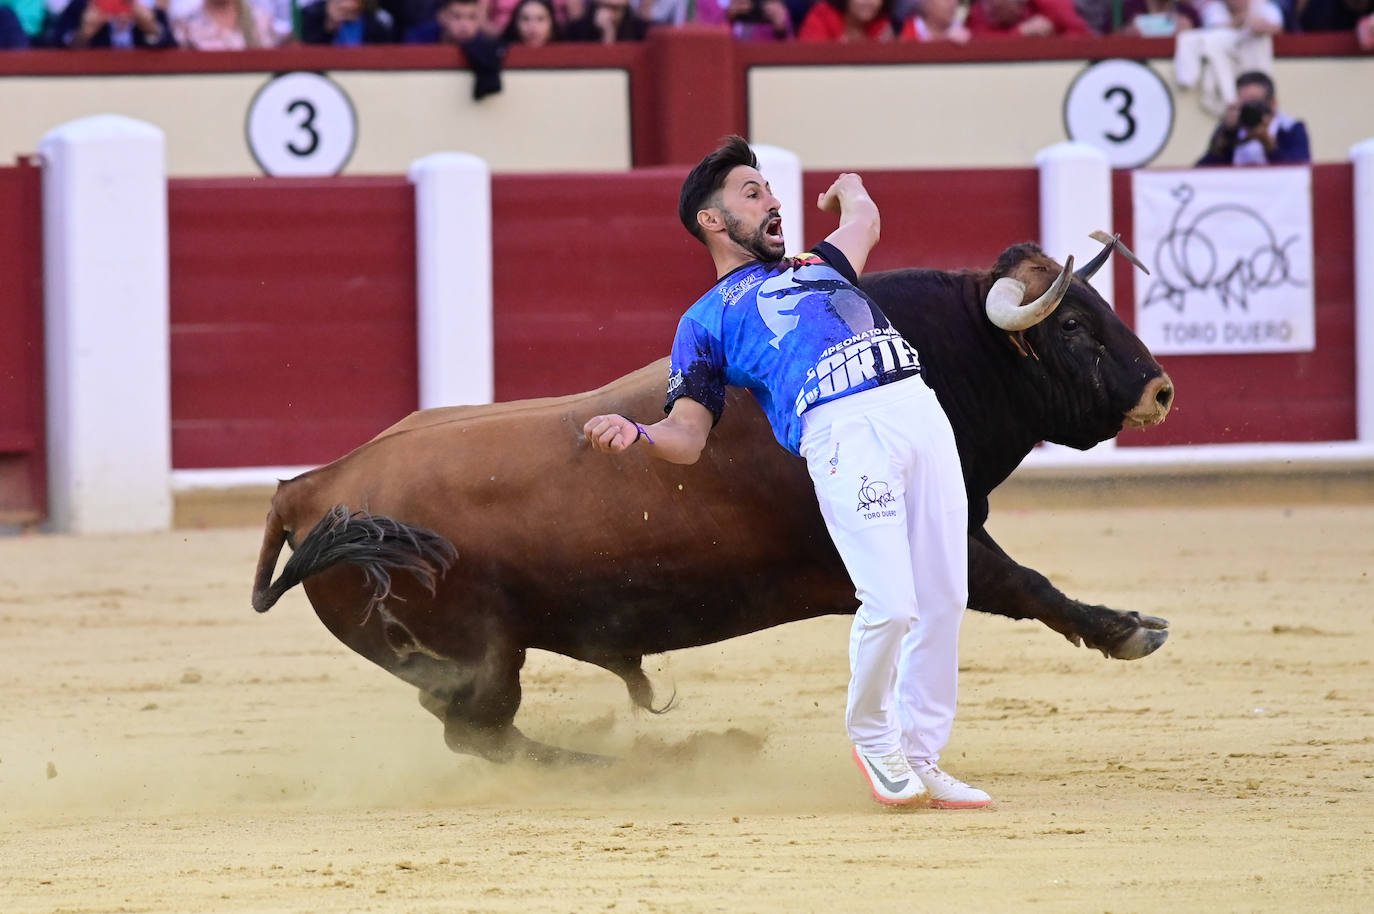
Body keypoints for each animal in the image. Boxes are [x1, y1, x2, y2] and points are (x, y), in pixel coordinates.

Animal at [252, 233, 1176, 764]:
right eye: (1072, 328)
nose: (1160, 390)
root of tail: (313, 489)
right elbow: (1025, 585)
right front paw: (1128, 630)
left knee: (480, 735)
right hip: (481, 658)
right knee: (483, 734)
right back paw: (643, 764)